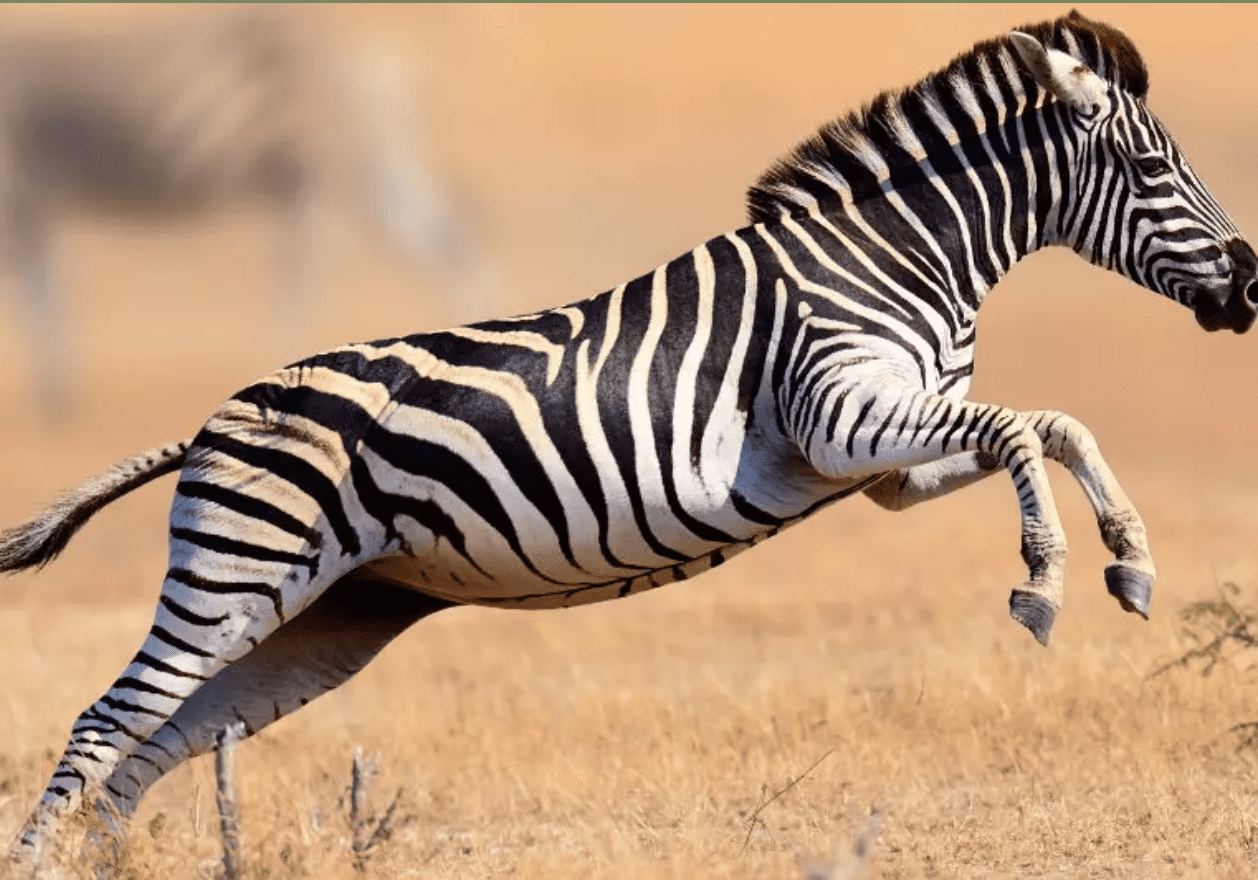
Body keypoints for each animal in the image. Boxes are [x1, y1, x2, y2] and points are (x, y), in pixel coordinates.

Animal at [0, 6, 479, 419]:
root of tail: (377, 58)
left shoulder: (22, 194)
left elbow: (41, 297)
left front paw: (55, 399)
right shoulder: (29, 200)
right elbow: (45, 295)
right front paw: (56, 396)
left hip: (350, 169)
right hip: (341, 173)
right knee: (441, 240)